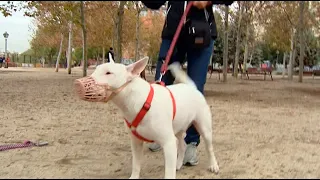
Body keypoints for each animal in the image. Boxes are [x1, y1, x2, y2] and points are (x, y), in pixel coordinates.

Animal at [75, 54, 220, 179]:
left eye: (108, 73)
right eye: (96, 69)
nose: (78, 84)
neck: (140, 102)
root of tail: (191, 87)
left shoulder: (168, 143)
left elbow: (169, 173)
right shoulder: (136, 142)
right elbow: (136, 165)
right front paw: (134, 177)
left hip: (204, 128)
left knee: (209, 148)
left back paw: (213, 166)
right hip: (178, 127)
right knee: (182, 144)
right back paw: (178, 164)